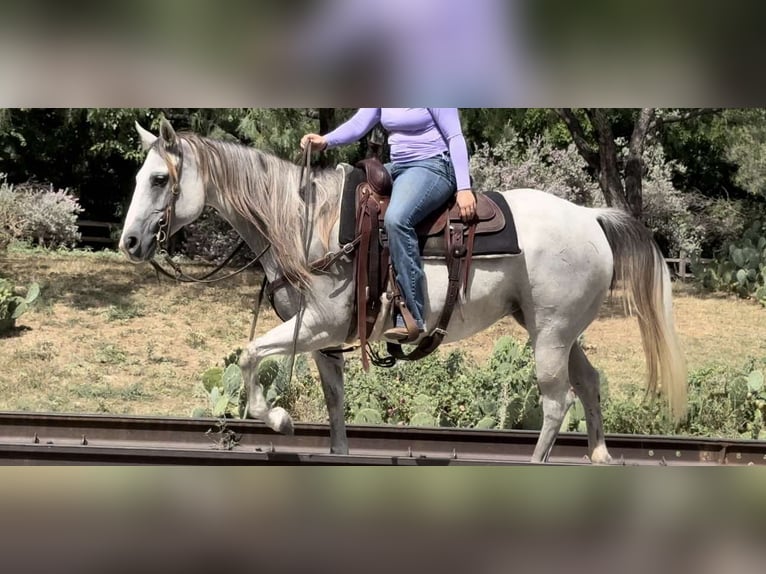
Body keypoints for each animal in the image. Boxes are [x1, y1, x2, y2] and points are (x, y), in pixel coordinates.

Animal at [119, 119, 687, 464]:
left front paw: (278, 418)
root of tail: (591, 217)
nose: (129, 242)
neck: (307, 223)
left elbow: (250, 356)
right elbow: (336, 404)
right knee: (589, 382)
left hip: (549, 336)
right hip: (557, 330)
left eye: (158, 179)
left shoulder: (319, 325)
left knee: (555, 401)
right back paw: (600, 455)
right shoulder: (325, 342)